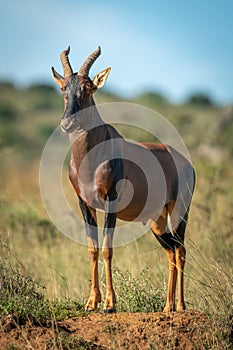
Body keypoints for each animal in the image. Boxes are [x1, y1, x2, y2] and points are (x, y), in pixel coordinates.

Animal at [52, 45, 195, 312]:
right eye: (64, 87)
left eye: (88, 87)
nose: (67, 124)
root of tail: (187, 163)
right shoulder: (84, 204)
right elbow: (93, 248)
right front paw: (91, 302)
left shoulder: (111, 201)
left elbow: (107, 249)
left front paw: (110, 304)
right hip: (157, 220)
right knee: (171, 251)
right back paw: (167, 306)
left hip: (180, 211)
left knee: (181, 249)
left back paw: (181, 306)